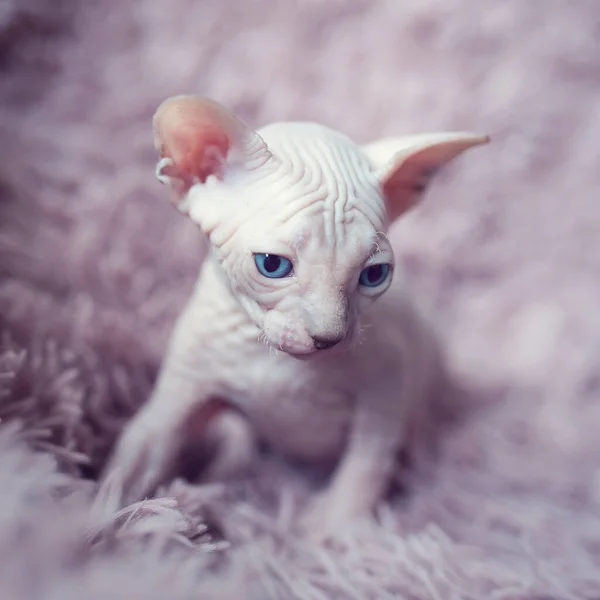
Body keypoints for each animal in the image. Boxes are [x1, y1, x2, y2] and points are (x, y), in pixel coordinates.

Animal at [103, 95, 488, 540]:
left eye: (374, 275)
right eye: (271, 265)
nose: (328, 338)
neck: (271, 358)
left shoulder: (387, 387)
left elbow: (367, 463)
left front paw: (337, 529)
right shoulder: (184, 388)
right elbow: (137, 458)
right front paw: (103, 521)